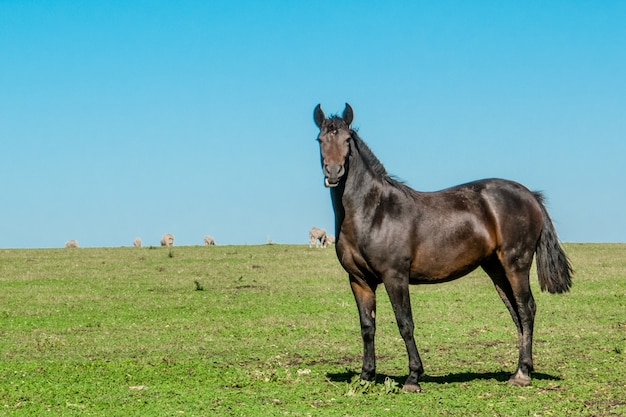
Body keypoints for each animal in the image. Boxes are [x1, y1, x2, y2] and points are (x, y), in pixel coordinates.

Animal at [312, 102, 572, 392]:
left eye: (347, 139)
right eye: (320, 139)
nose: (333, 174)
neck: (375, 211)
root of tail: (530, 196)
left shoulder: (395, 276)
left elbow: (405, 323)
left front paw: (413, 378)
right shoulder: (359, 280)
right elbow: (367, 326)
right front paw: (366, 376)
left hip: (516, 265)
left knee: (527, 309)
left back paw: (523, 374)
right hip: (495, 268)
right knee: (516, 312)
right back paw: (519, 369)